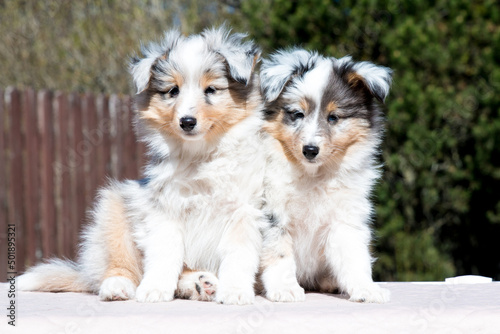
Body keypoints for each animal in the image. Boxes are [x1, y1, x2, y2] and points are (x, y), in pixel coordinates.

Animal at [18, 27, 266, 306]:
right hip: (114, 208)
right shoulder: (164, 208)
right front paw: (154, 290)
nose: (186, 122)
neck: (200, 155)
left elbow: (239, 255)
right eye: (173, 91)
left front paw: (235, 292)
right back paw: (119, 286)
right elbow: (165, 253)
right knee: (120, 265)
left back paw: (201, 284)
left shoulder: (245, 212)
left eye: (211, 90)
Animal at [260, 49, 392, 302]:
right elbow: (279, 253)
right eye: (298, 114)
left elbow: (354, 256)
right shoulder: (272, 213)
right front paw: (285, 288)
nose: (310, 150)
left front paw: (366, 289)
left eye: (333, 117)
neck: (313, 175)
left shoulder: (345, 217)